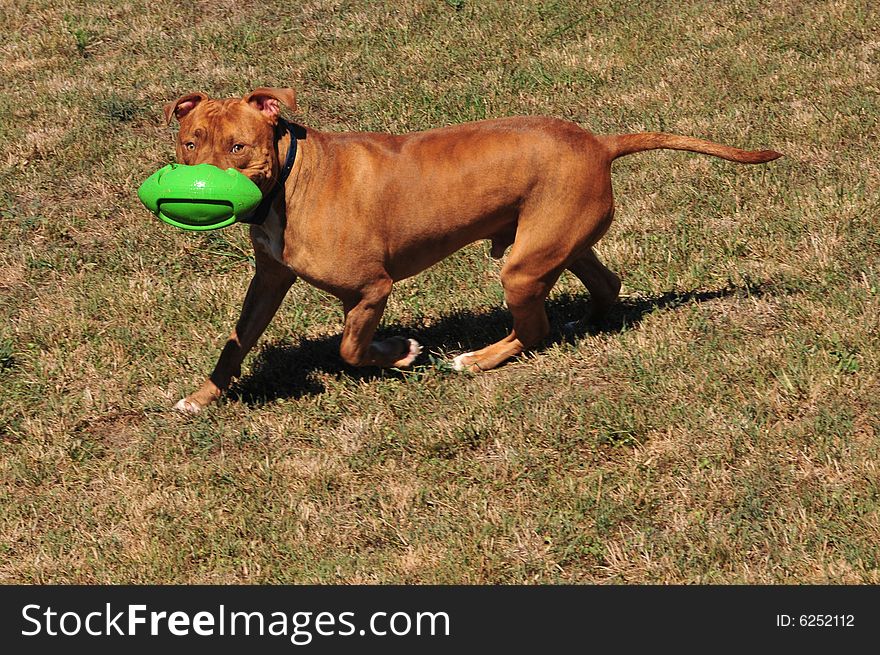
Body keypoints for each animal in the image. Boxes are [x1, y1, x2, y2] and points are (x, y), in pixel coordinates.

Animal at [165, 87, 784, 416]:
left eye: (238, 148)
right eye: (190, 142)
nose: (197, 188)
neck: (291, 177)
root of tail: (598, 142)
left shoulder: (371, 289)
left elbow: (350, 348)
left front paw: (402, 353)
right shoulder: (267, 279)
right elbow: (234, 343)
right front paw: (202, 397)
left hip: (521, 267)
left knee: (532, 330)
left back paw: (478, 359)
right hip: (552, 243)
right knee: (602, 285)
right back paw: (589, 322)